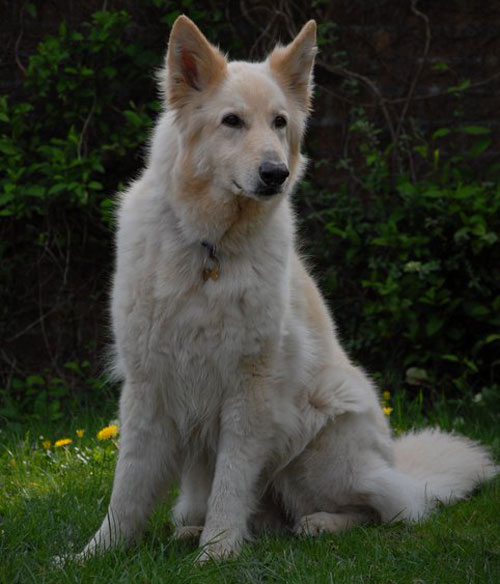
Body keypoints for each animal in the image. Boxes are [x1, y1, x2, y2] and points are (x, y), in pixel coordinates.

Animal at [78, 16, 496, 560]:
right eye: (232, 121)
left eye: (279, 123)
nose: (275, 174)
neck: (210, 248)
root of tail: (394, 465)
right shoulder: (147, 384)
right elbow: (127, 487)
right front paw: (94, 554)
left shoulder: (250, 392)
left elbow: (232, 482)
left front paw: (217, 554)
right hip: (205, 482)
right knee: (262, 518)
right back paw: (197, 531)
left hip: (320, 445)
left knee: (390, 508)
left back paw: (319, 523)